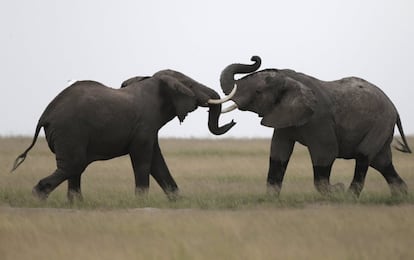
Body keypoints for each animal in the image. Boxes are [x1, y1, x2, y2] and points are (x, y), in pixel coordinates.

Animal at [11, 70, 236, 202]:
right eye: (190, 87)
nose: (233, 122)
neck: (155, 81)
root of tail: (45, 115)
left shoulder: (149, 129)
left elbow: (157, 161)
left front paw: (178, 201)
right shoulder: (144, 125)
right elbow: (143, 160)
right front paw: (141, 202)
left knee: (74, 168)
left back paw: (76, 203)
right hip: (70, 132)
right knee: (74, 165)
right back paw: (39, 195)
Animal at [217, 55, 410, 197]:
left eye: (257, 92)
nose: (254, 58)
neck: (289, 79)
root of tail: (394, 108)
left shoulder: (318, 119)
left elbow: (326, 152)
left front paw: (336, 190)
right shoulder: (284, 117)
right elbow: (278, 155)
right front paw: (270, 200)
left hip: (381, 123)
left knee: (364, 156)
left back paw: (349, 197)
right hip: (383, 127)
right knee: (382, 162)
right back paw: (399, 196)